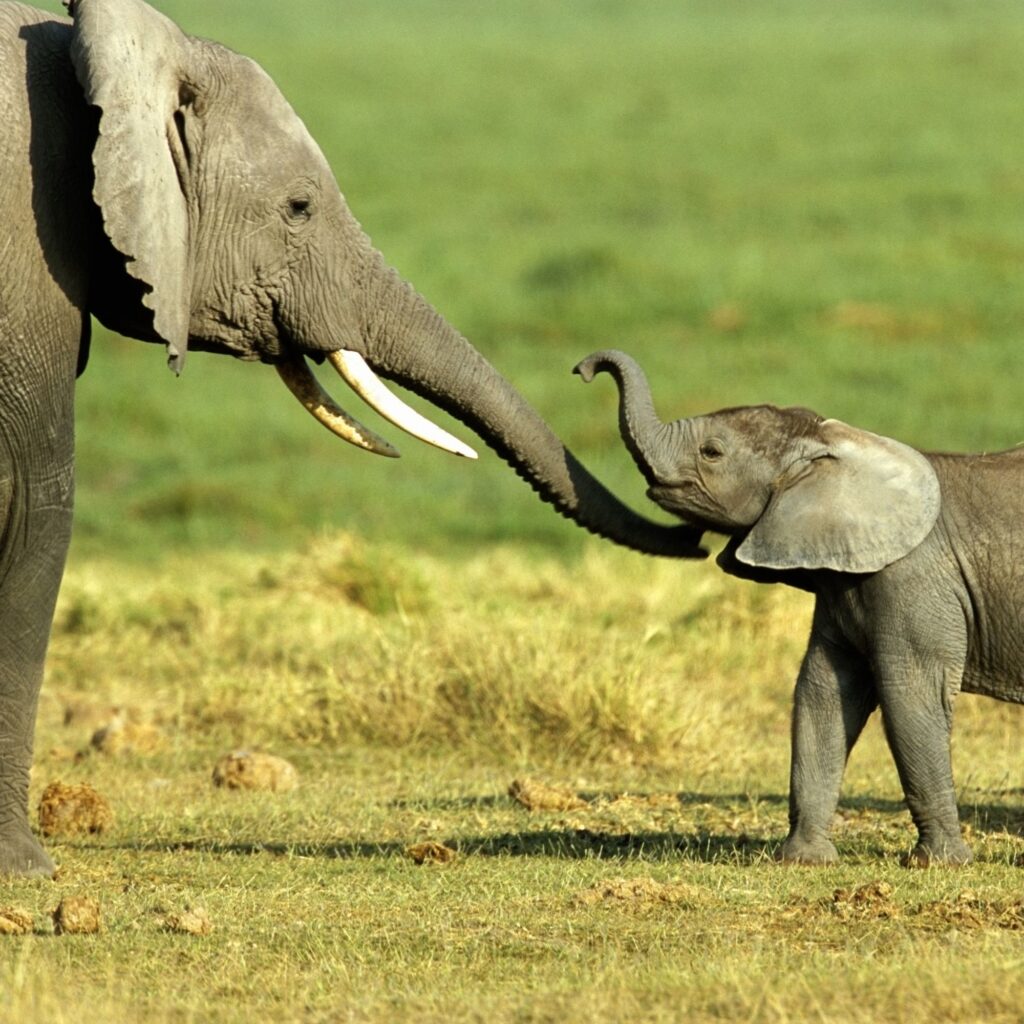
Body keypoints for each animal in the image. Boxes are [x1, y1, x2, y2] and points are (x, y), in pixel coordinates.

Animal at [0, 2, 704, 880]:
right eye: (299, 207)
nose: (587, 367)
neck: (90, 48)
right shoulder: (28, 256)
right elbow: (37, 506)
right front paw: (25, 869)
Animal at [577, 350, 1024, 864]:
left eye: (712, 452)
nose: (584, 369)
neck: (834, 445)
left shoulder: (913, 578)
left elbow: (911, 694)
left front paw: (939, 864)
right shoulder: (843, 582)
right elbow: (822, 692)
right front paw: (805, 861)